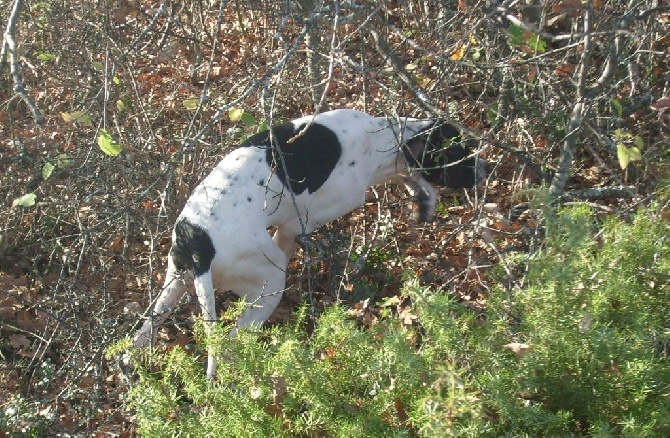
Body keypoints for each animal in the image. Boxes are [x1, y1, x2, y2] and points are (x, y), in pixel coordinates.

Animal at [134, 108, 490, 376]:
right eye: (460, 152)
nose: (488, 168)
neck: (377, 138)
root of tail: (196, 240)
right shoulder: (295, 225)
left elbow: (415, 179)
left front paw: (423, 201)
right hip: (270, 278)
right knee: (234, 341)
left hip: (174, 284)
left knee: (143, 332)